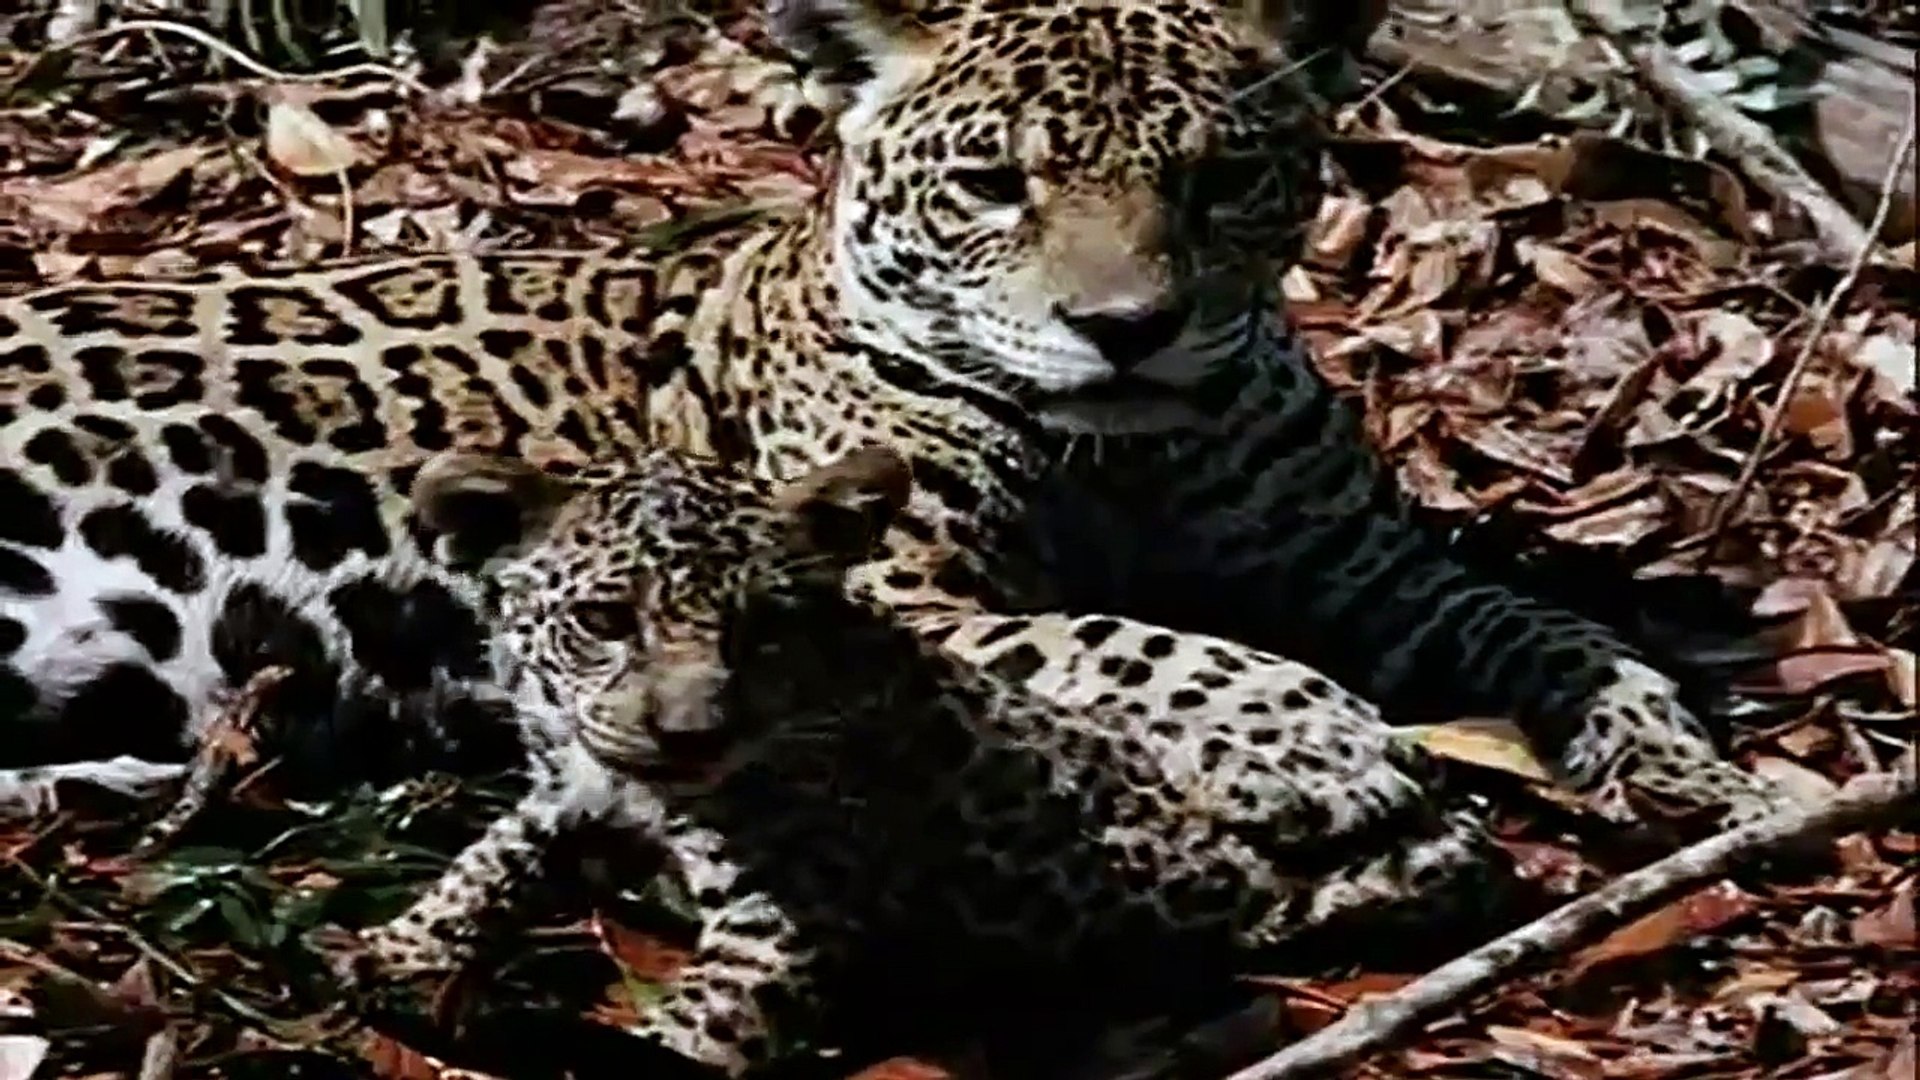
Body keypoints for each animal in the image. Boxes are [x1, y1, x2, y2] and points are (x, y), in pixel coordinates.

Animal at [4, 0, 1789, 965]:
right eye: (993, 185)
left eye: (1221, 180)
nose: (1125, 329)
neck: (1130, 462)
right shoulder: (884, 593)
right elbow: (1141, 643)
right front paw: (1325, 743)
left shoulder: (1367, 571)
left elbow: (1546, 627)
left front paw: (1693, 764)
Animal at [358, 442, 1504, 1077]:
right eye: (604, 621)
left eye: (763, 630)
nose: (694, 733)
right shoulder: (570, 787)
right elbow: (491, 855)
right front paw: (400, 949)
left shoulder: (786, 918)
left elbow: (707, 1022)